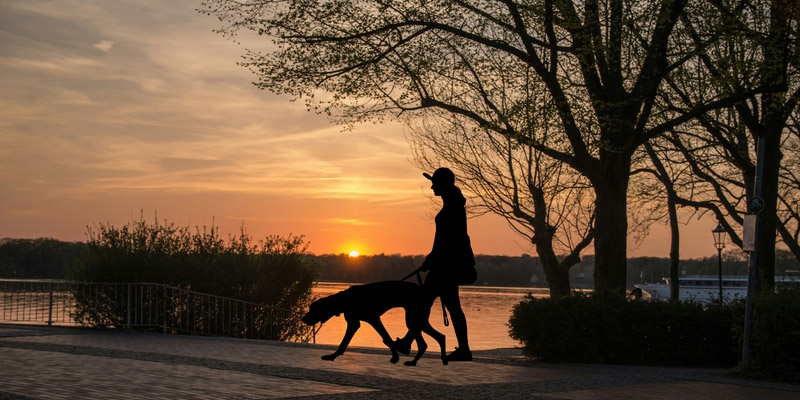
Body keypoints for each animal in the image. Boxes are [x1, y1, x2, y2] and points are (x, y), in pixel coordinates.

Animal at [304, 282, 446, 366]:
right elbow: (344, 344)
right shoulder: (355, 322)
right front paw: (332, 356)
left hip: (414, 318)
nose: (303, 319)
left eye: (312, 309)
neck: (345, 299)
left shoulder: (373, 319)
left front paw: (395, 357)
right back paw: (414, 361)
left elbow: (386, 338)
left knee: (438, 337)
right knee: (430, 341)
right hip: (415, 319)